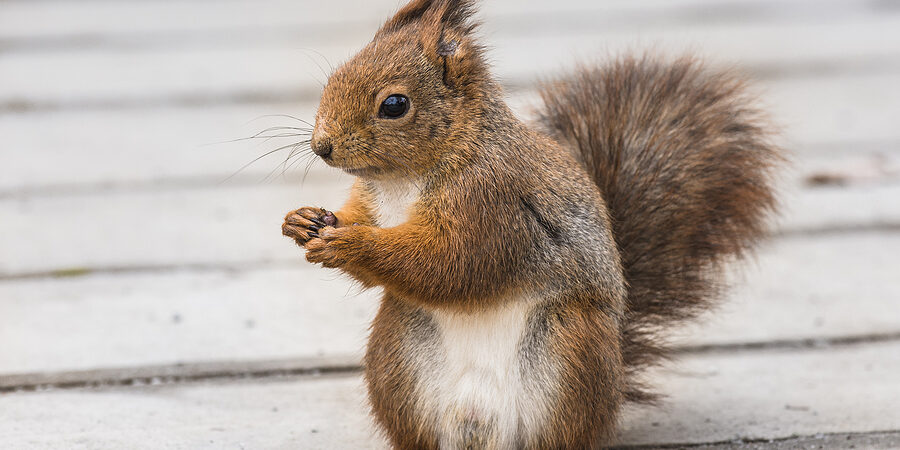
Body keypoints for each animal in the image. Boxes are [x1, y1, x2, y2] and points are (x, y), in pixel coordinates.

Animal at [281, 0, 780, 448]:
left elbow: (452, 264)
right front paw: (304, 220)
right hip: (398, 357)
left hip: (570, 354)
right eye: (334, 76)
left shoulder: (491, 205)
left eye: (395, 105)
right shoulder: (372, 199)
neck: (403, 180)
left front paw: (352, 244)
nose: (322, 146)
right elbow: (365, 225)